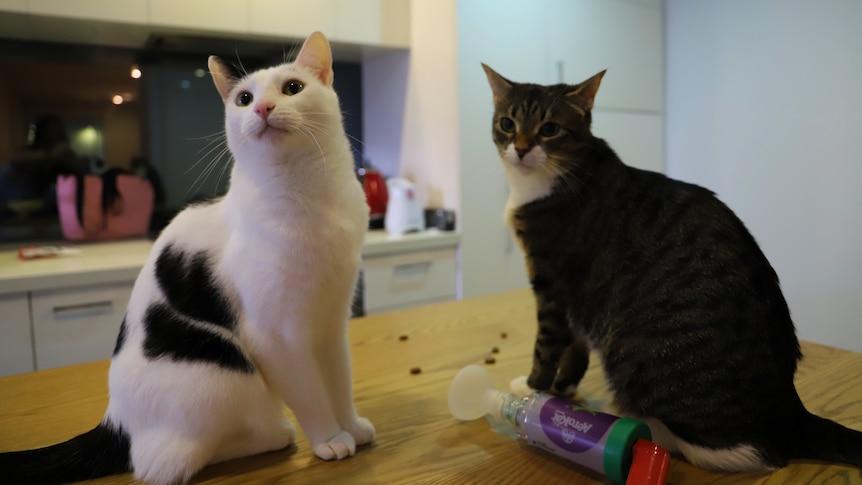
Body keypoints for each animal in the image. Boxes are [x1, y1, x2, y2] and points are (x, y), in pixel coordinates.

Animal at [0, 32, 378, 482]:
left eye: (292, 88)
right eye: (245, 98)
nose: (264, 109)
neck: (309, 197)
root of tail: (115, 421)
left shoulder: (331, 323)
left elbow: (339, 382)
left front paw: (351, 425)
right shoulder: (277, 338)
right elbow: (310, 395)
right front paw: (330, 438)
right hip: (225, 370)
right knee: (164, 461)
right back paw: (274, 434)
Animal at [482, 62, 862, 470]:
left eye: (549, 129)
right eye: (507, 123)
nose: (521, 149)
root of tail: (789, 414)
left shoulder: (553, 282)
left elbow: (547, 343)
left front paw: (533, 388)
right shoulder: (574, 299)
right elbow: (574, 347)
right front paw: (562, 388)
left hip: (639, 360)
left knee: (738, 452)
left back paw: (632, 423)